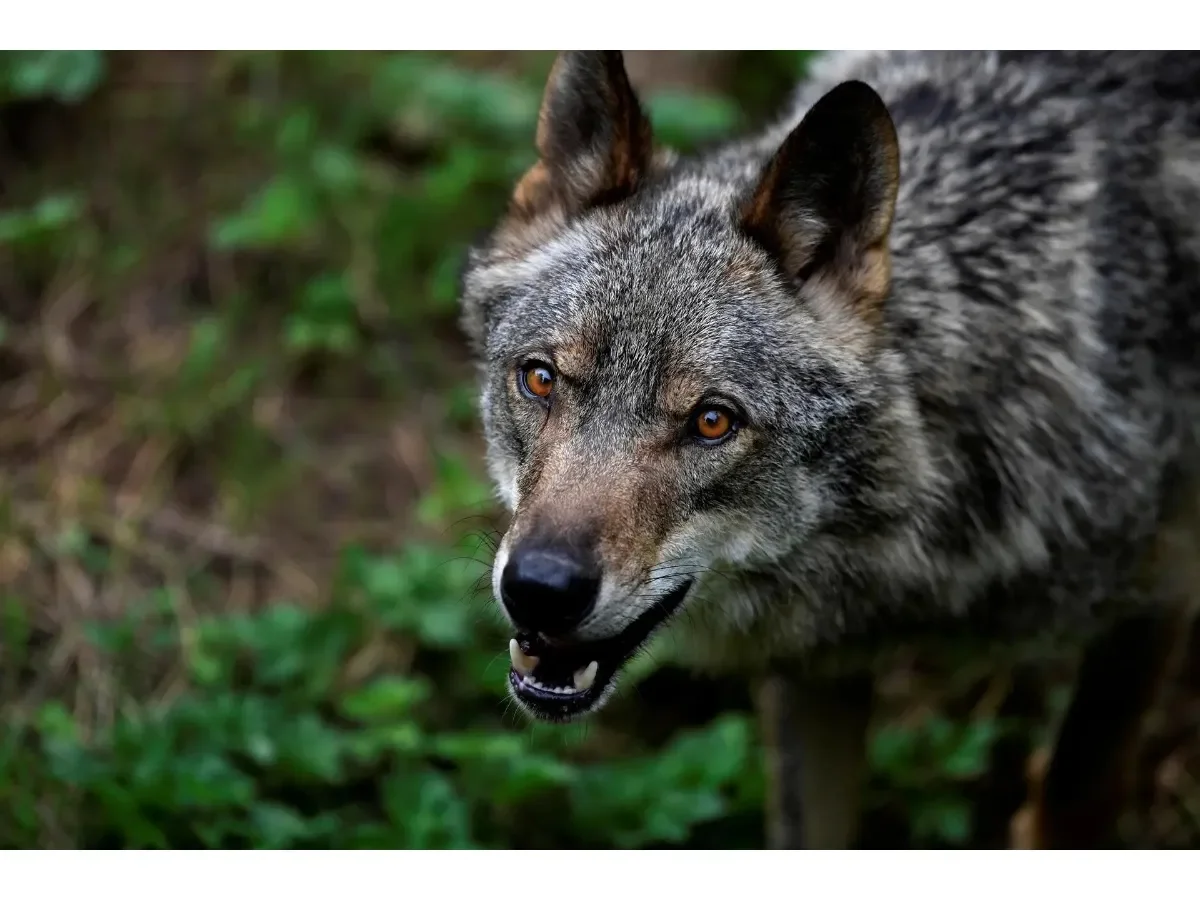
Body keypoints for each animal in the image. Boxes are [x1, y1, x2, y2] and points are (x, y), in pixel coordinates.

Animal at [458, 50, 1200, 849]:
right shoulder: (811, 669)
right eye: (540, 379)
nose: (540, 587)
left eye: (712, 422)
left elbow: (1074, 800)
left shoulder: (1159, 594)